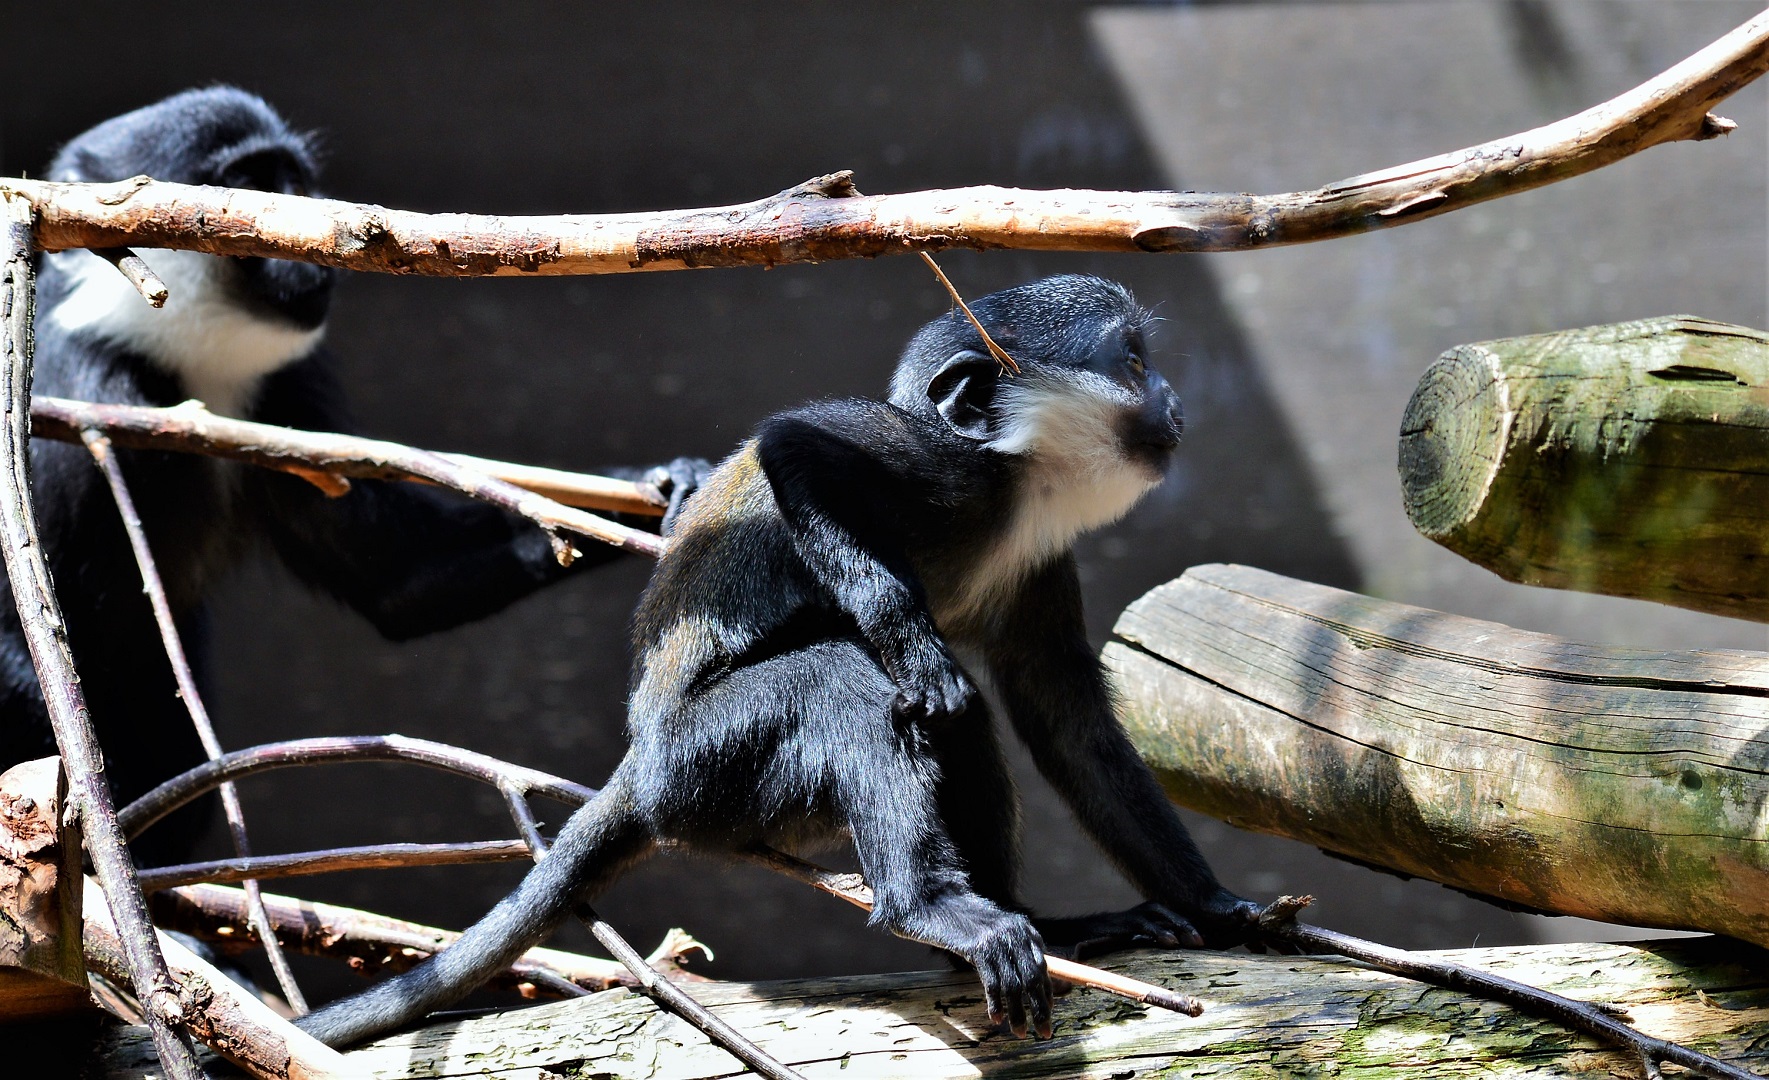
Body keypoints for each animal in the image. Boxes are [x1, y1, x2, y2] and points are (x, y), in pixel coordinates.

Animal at [0, 87, 709, 866]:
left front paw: (679, 493)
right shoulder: (105, 395)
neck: (185, 361)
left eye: (296, 181)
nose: (309, 246)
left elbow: (397, 581)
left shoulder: (281, 396)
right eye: (250, 187)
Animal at [297, 274, 1256, 1048]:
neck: (1014, 489)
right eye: (1130, 362)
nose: (1170, 395)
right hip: (706, 774)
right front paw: (905, 633)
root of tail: (641, 770)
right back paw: (927, 907)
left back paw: (1033, 930)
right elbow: (795, 447)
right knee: (845, 682)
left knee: (962, 729)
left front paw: (1217, 908)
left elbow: (1064, 720)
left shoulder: (1039, 550)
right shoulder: (928, 464)